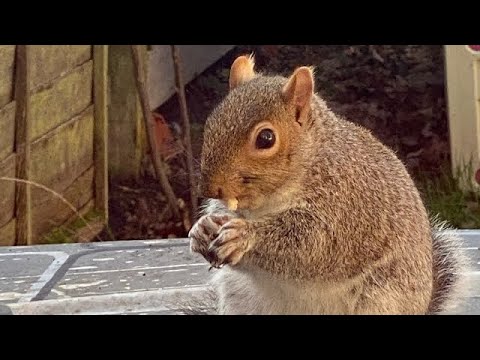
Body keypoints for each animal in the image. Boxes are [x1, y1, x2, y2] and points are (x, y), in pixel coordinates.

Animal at [186, 54, 470, 316]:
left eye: (266, 138)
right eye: (212, 122)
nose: (209, 189)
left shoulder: (346, 205)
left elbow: (315, 242)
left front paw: (244, 236)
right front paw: (203, 228)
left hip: (379, 300)